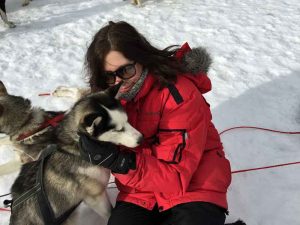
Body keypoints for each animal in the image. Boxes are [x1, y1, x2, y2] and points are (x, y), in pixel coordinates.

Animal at [7, 83, 142, 225]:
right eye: (117, 130)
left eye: (127, 120)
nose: (141, 138)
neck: (77, 147)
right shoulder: (95, 197)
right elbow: (109, 212)